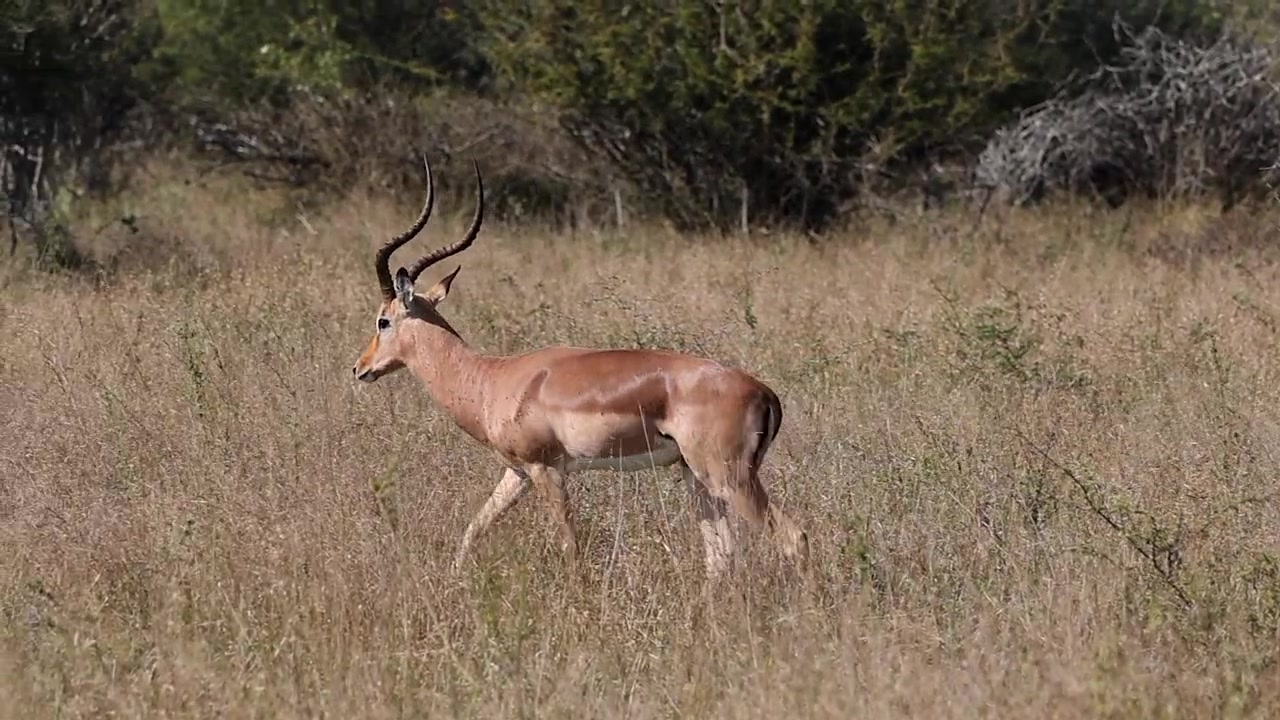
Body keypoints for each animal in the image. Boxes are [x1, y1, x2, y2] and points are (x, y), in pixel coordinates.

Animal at [351, 156, 810, 580]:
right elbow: (473, 530)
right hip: (697, 477)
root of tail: (764, 393)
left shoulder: (547, 470)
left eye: (382, 320)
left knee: (793, 537)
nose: (360, 368)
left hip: (728, 478)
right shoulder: (516, 472)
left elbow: (571, 547)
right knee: (721, 557)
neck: (491, 380)